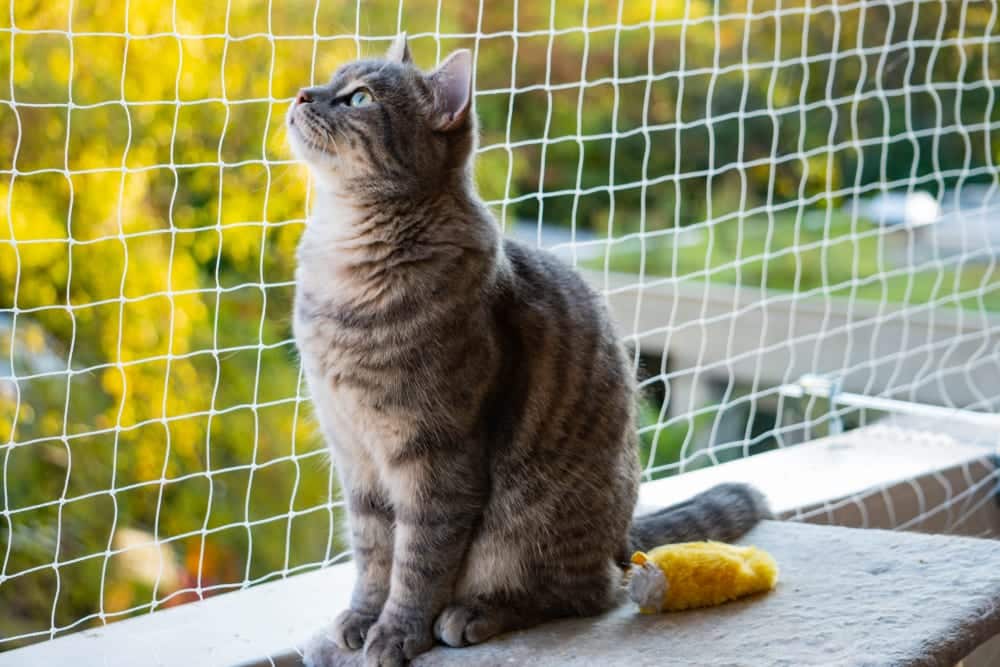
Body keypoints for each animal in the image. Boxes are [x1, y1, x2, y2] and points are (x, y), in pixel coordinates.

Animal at [290, 35, 772, 667]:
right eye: (330, 80)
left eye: (361, 98)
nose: (302, 93)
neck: (344, 271)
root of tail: (621, 535)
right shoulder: (357, 460)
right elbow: (374, 556)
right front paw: (360, 618)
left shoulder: (436, 460)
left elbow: (417, 564)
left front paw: (395, 633)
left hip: (526, 524)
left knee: (588, 592)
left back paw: (475, 612)